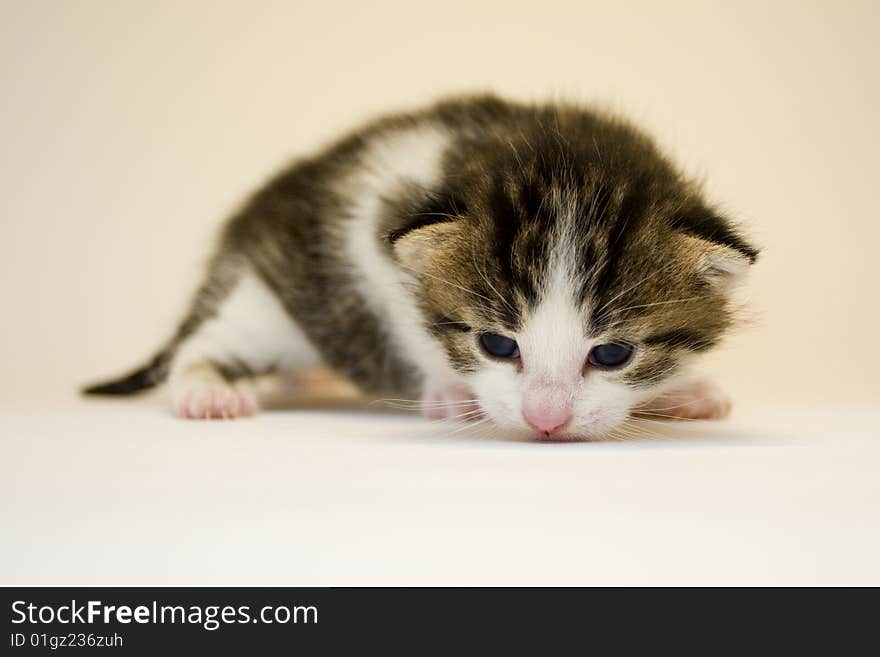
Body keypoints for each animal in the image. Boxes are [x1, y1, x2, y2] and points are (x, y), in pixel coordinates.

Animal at [84, 93, 756, 440]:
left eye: (613, 354)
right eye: (497, 345)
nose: (545, 421)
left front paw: (684, 392)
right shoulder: (371, 234)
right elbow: (408, 325)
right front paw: (451, 392)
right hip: (267, 302)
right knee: (204, 344)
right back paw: (207, 391)